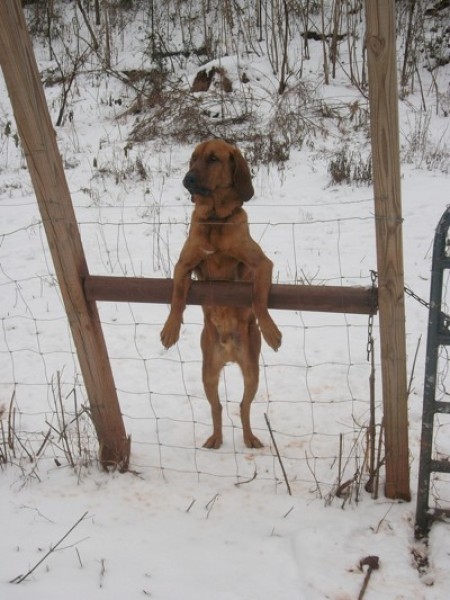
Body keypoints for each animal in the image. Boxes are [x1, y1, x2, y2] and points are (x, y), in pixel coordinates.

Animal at [161, 141, 282, 448]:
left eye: (214, 159)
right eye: (193, 158)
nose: (188, 179)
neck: (215, 219)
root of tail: (228, 351)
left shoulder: (261, 264)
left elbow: (258, 298)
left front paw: (271, 330)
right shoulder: (183, 266)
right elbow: (177, 297)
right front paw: (170, 330)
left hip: (251, 371)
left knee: (243, 406)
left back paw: (249, 437)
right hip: (208, 373)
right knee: (216, 407)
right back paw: (215, 438)